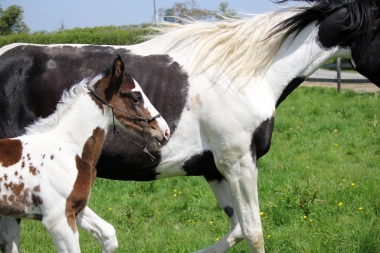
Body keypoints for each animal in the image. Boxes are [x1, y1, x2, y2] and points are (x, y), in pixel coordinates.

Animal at [0, 55, 170, 253]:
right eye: (136, 97)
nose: (165, 131)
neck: (67, 149)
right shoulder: (58, 219)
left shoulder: (77, 208)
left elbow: (109, 235)